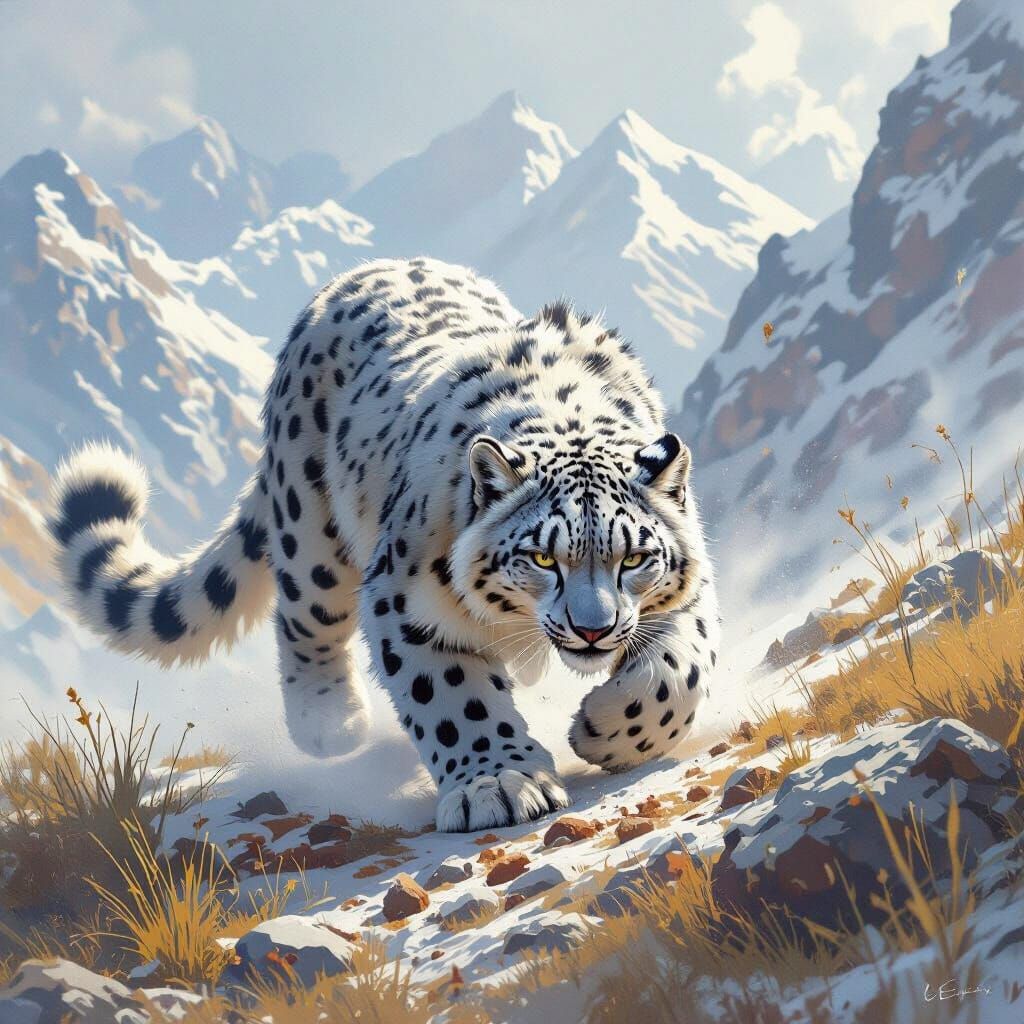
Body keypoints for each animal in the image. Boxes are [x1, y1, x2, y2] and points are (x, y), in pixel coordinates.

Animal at [49, 257, 719, 832]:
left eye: (634, 558)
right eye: (542, 557)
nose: (593, 630)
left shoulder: (683, 595)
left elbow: (679, 670)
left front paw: (608, 733)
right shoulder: (406, 603)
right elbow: (452, 699)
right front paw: (498, 784)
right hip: (310, 528)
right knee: (304, 615)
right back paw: (328, 722)